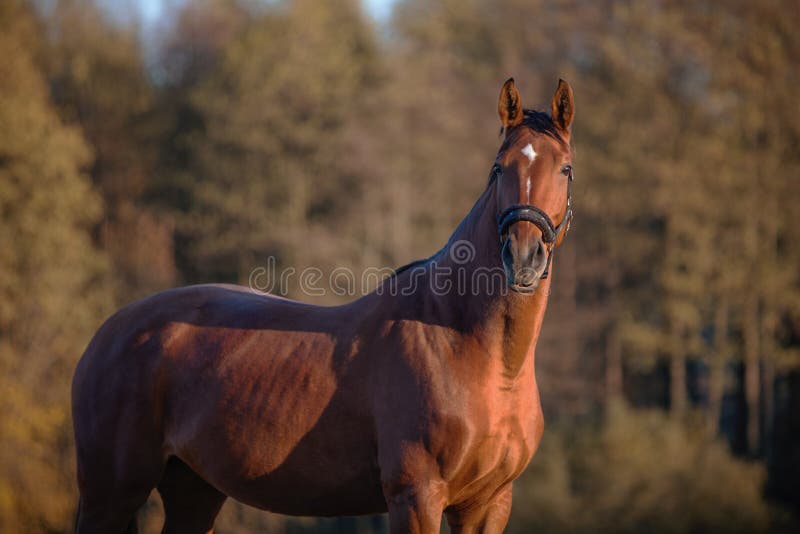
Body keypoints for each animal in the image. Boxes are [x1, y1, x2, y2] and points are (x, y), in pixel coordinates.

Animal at [73, 76, 576, 534]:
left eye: (566, 169)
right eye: (498, 168)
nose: (524, 257)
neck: (474, 351)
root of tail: (111, 330)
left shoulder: (489, 504)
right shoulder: (416, 497)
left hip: (194, 489)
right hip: (110, 496)